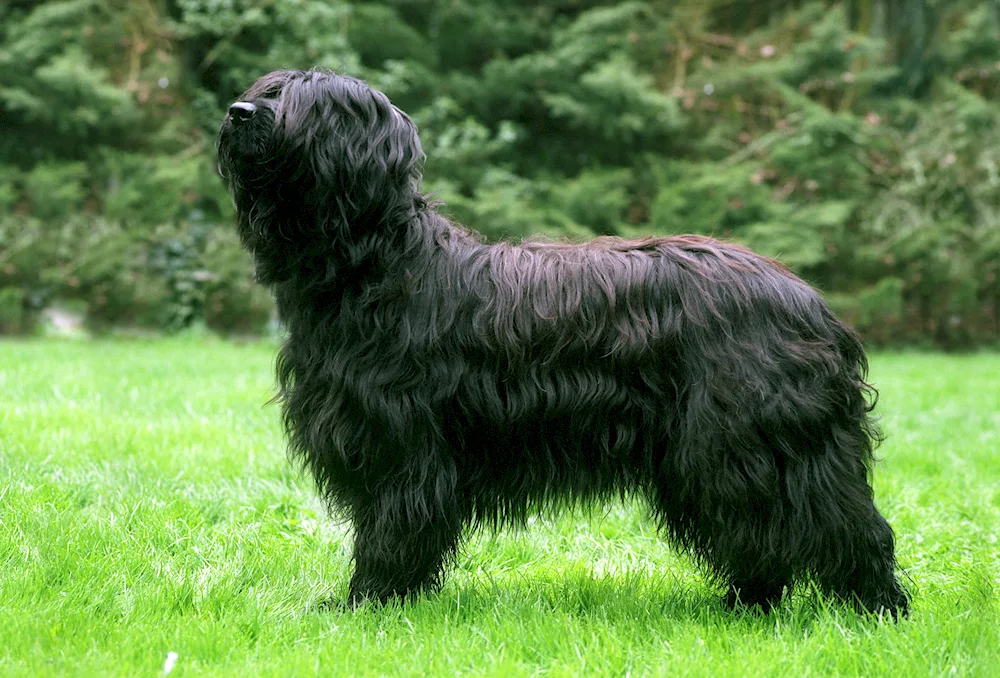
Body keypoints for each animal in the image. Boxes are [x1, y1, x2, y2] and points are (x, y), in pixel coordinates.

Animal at [217, 70, 908, 620]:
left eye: (307, 102)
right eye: (266, 88)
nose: (237, 112)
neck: (379, 266)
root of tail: (807, 296)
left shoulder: (402, 440)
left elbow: (393, 527)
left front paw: (368, 603)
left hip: (752, 437)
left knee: (842, 526)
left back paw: (878, 610)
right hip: (718, 453)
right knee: (758, 533)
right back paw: (745, 607)